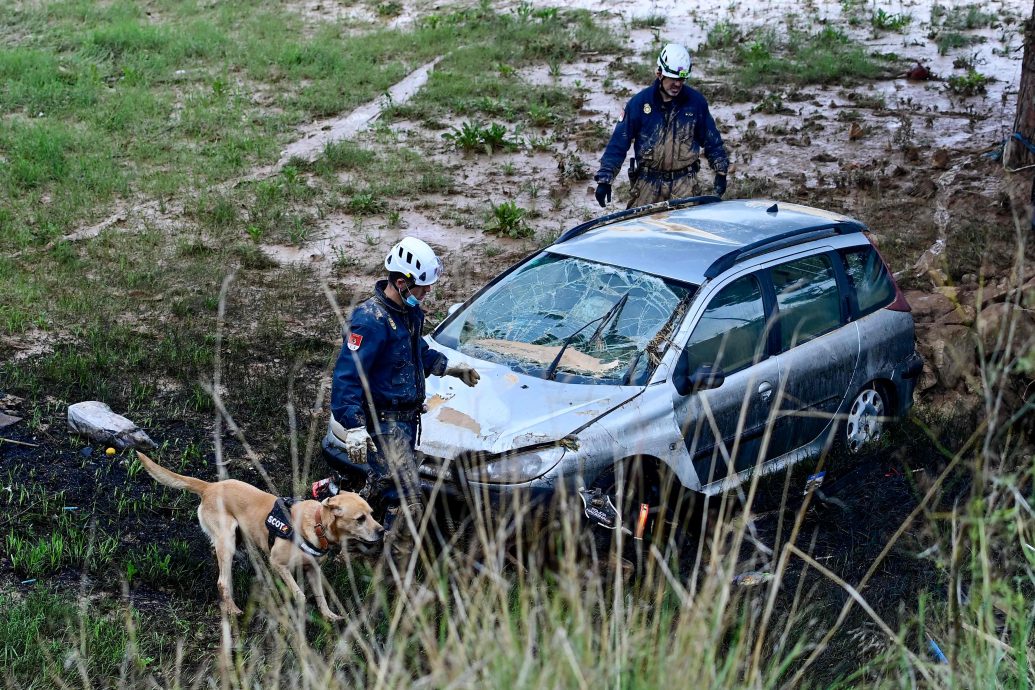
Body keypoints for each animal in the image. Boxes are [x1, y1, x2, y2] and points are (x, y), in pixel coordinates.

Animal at [135, 453, 382, 620]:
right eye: (360, 518)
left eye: (371, 513)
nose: (382, 531)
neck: (317, 523)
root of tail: (209, 486)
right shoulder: (278, 563)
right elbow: (300, 595)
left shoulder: (313, 570)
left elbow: (321, 596)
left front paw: (329, 616)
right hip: (228, 541)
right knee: (222, 581)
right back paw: (232, 609)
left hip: (238, 540)